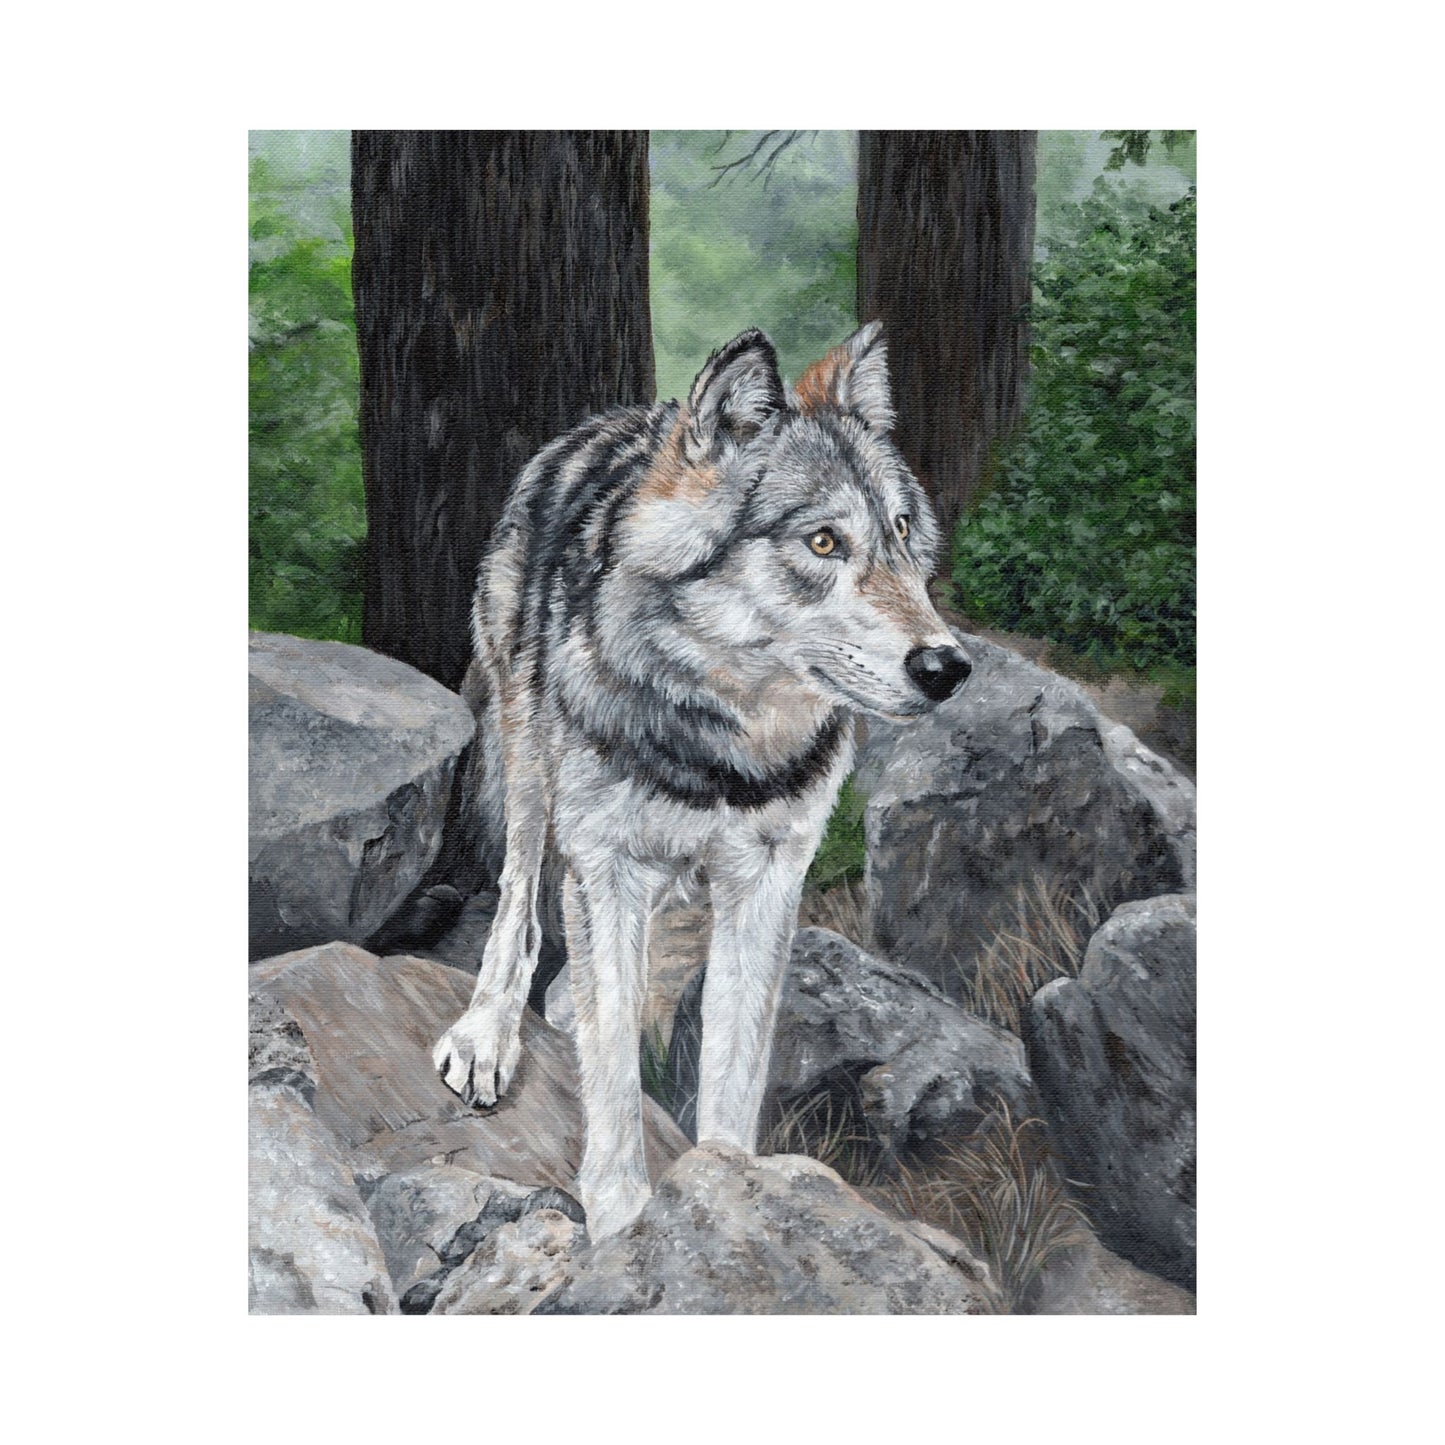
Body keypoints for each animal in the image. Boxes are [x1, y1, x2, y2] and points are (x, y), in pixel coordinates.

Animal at [433, 322, 972, 1238]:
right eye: (823, 542)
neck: (724, 748)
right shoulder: (606, 862)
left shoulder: (768, 879)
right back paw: (489, 1031)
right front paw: (623, 1222)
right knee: (518, 905)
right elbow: (614, 1070)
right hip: (529, 761)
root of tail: (613, 420)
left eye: (902, 531)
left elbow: (730, 1065)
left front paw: (730, 1194)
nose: (948, 666)